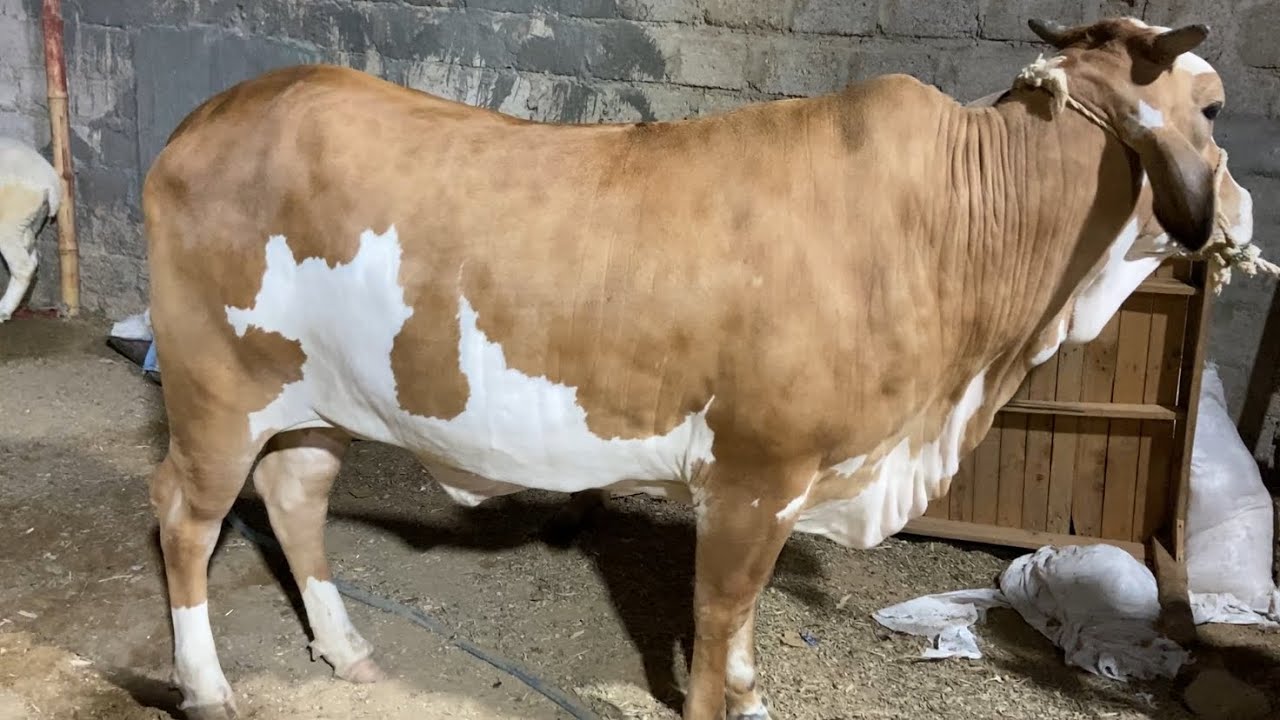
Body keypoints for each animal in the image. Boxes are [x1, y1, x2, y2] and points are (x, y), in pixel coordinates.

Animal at [141, 16, 1254, 720]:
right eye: (1213, 110)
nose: (1242, 210)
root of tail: (213, 112)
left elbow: (745, 622)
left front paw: (757, 694)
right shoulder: (754, 474)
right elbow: (719, 617)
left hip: (316, 395)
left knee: (295, 495)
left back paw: (348, 651)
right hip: (215, 390)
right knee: (185, 516)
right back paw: (207, 687)